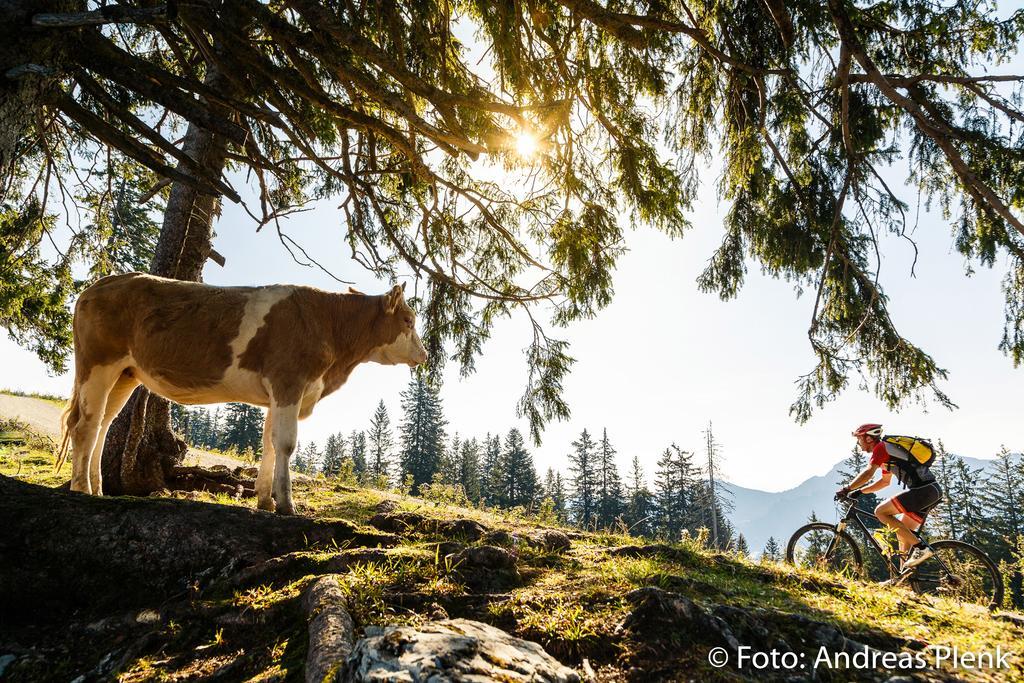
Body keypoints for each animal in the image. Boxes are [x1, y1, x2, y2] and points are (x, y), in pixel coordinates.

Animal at [58, 272, 425, 511]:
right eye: (408, 320)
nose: (423, 355)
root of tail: (100, 284)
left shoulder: (278, 394)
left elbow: (269, 444)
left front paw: (264, 500)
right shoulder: (289, 381)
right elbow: (286, 444)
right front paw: (286, 504)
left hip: (125, 373)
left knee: (102, 423)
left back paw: (97, 489)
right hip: (98, 363)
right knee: (84, 425)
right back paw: (81, 489)